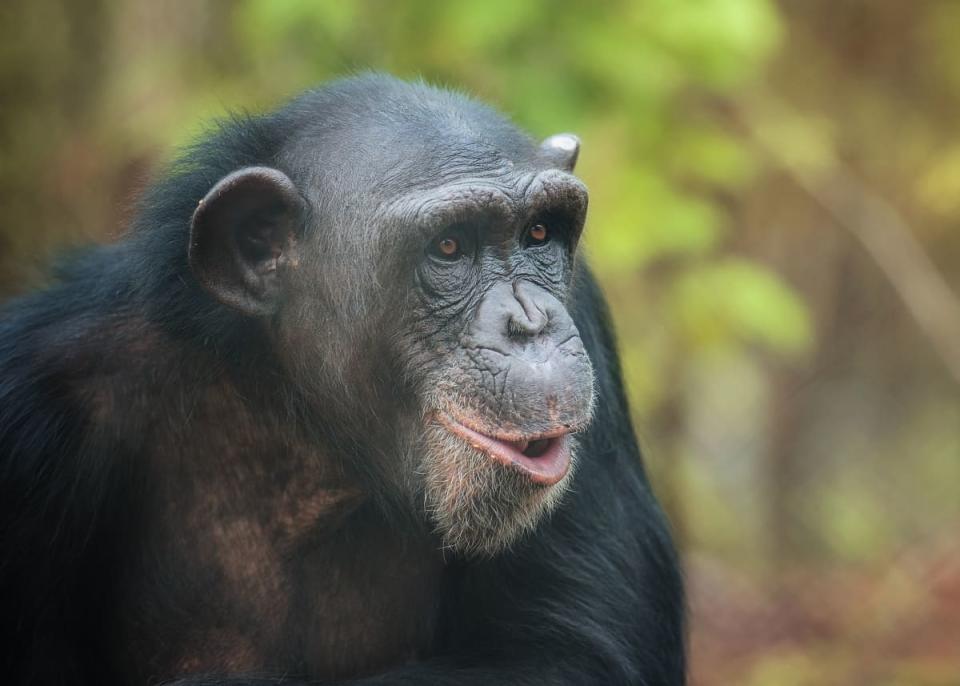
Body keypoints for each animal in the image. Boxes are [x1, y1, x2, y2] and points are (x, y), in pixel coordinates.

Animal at [3, 72, 688, 684]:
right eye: (448, 248)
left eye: (539, 232)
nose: (532, 322)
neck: (298, 419)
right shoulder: (29, 410)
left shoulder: (585, 311)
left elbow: (566, 652)